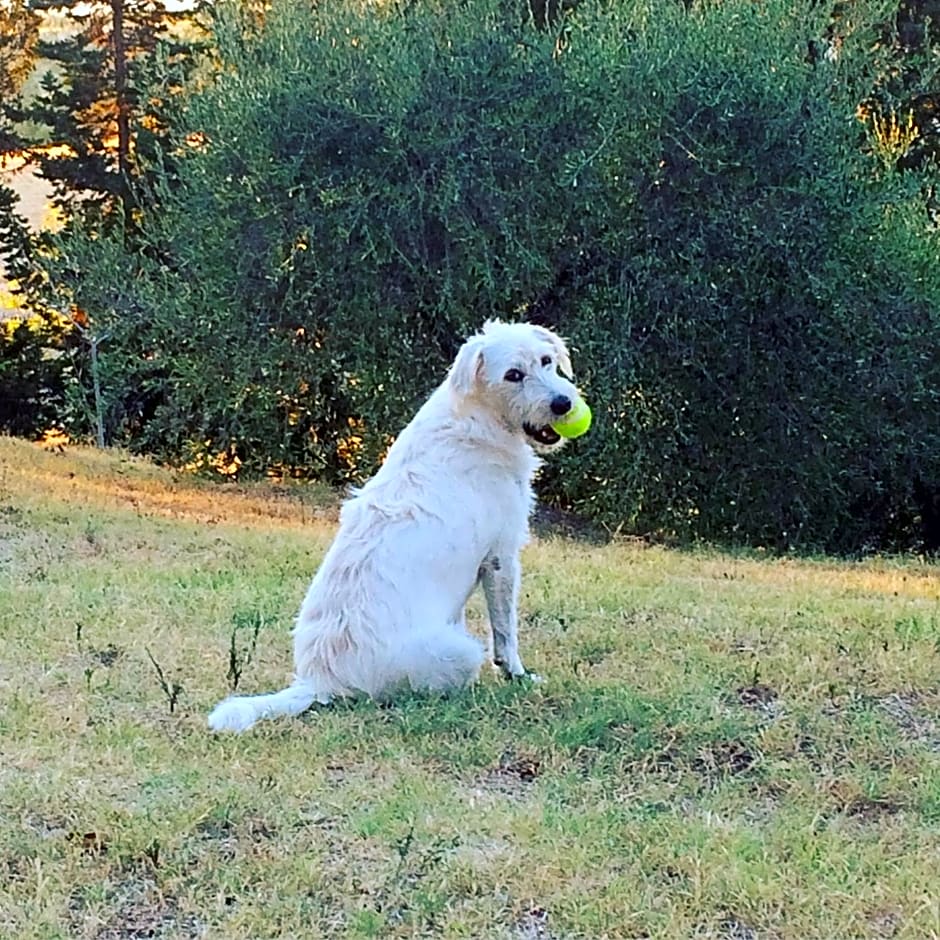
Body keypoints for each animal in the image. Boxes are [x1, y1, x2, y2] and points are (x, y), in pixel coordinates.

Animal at [207, 320, 580, 732]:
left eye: (546, 361)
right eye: (513, 375)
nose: (563, 403)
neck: (477, 418)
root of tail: (319, 681)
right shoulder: (501, 558)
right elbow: (505, 631)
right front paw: (517, 676)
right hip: (462, 652)